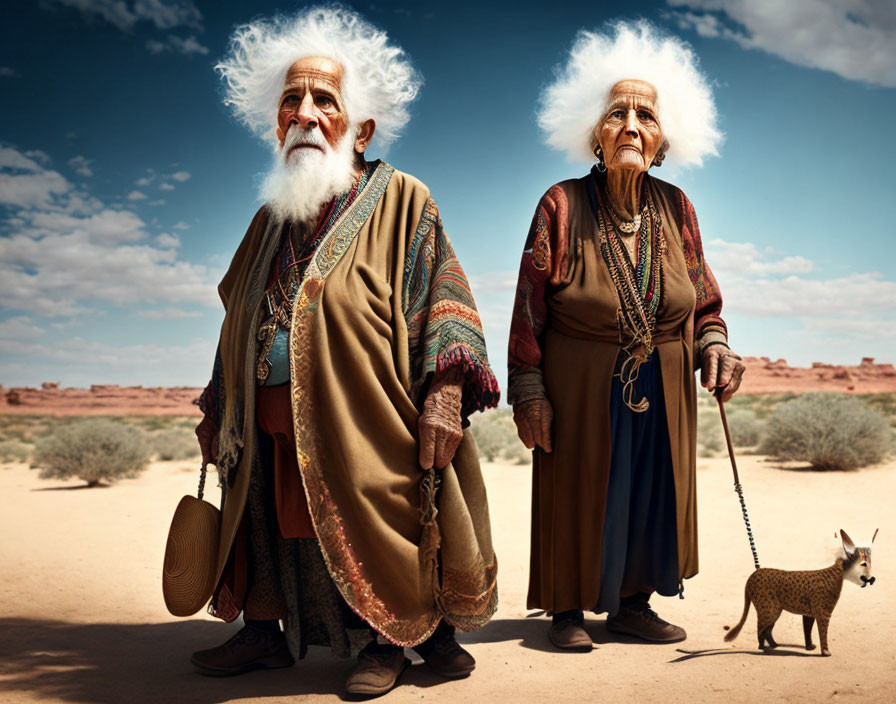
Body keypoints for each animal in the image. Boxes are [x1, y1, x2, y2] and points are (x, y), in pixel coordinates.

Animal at [724, 532, 880, 656]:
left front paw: (810, 647)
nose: (871, 579)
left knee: (766, 629)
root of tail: (755, 573)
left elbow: (807, 631)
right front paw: (825, 652)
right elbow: (823, 633)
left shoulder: (809, 614)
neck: (839, 572)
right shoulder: (823, 614)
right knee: (760, 629)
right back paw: (762, 647)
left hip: (773, 610)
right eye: (864, 564)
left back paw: (773, 645)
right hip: (769, 609)